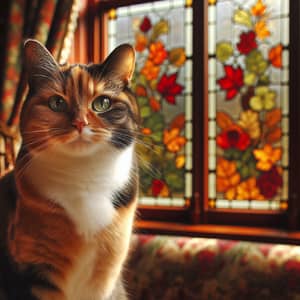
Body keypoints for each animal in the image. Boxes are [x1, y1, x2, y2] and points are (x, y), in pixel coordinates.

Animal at [0, 40, 139, 300]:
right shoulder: (34, 273)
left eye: (102, 103)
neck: (84, 177)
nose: (80, 123)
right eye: (57, 103)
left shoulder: (107, 273)